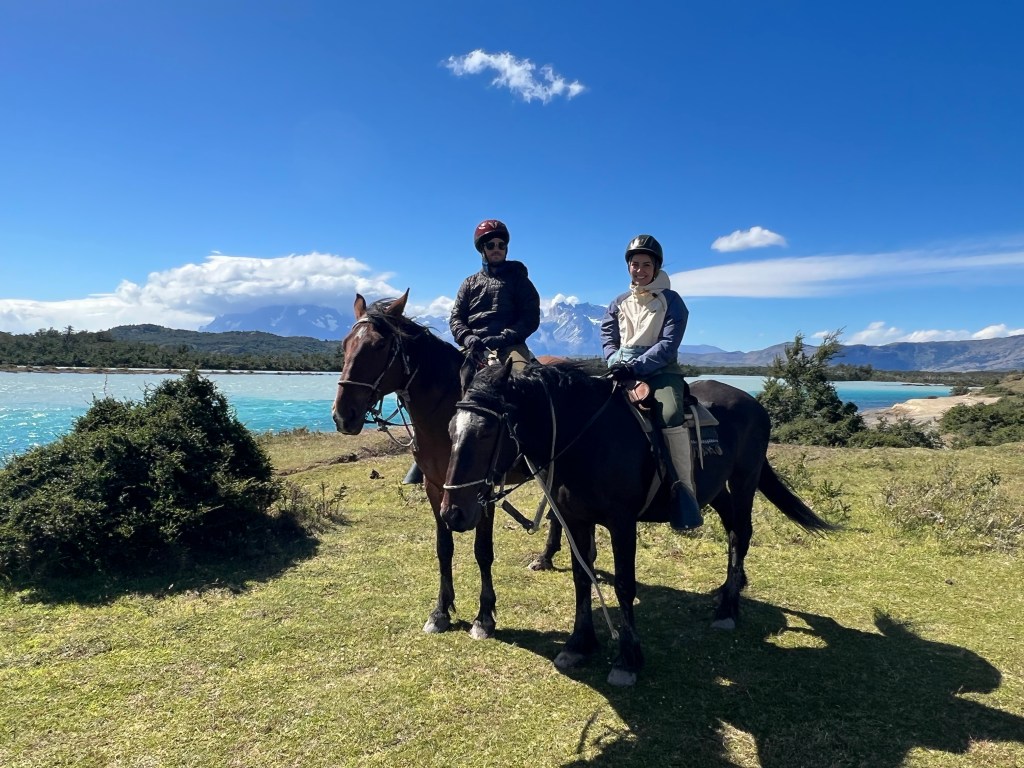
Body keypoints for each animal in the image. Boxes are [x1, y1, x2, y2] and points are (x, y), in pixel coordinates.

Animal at [332, 290, 534, 640]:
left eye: (379, 346)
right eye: (345, 344)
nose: (343, 415)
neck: (449, 411)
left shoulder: (482, 491)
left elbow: (483, 550)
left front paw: (484, 617)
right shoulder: (435, 486)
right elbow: (444, 547)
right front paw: (441, 611)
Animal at [439, 359, 837, 686]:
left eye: (486, 433)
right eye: (450, 429)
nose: (452, 513)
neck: (586, 439)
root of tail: (753, 403)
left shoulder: (622, 523)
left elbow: (624, 585)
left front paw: (627, 659)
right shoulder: (576, 521)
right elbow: (582, 579)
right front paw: (579, 643)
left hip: (744, 480)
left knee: (741, 533)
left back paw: (728, 609)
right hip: (714, 489)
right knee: (731, 530)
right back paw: (730, 588)